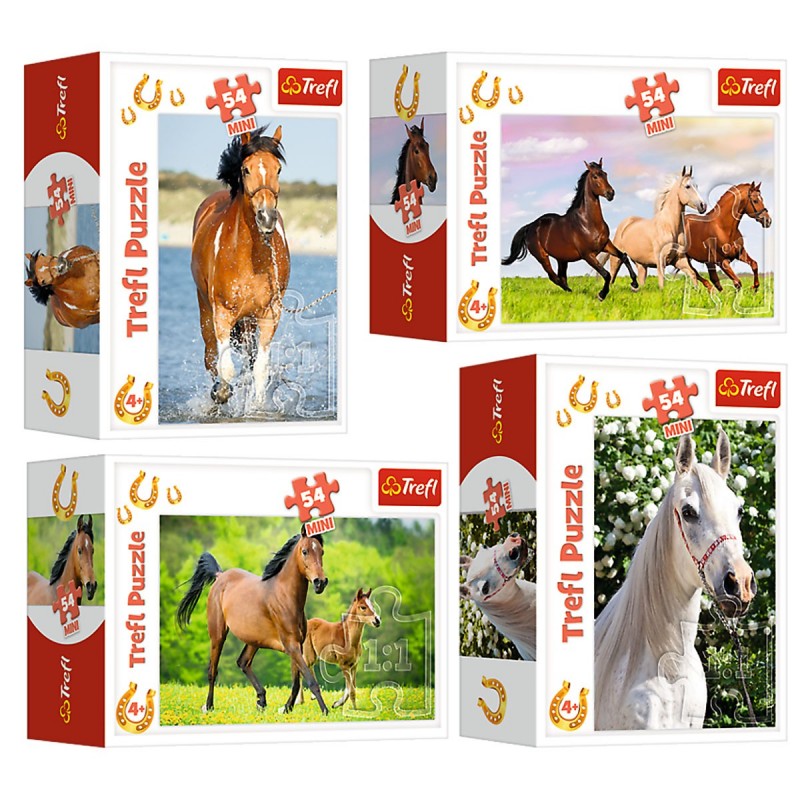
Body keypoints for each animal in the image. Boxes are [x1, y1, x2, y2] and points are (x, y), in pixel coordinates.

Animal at [176, 529, 330, 715]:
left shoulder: (297, 645)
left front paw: (286, 708)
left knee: (243, 662)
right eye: (305, 551)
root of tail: (220, 576)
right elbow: (310, 680)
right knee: (213, 670)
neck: (285, 597)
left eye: (321, 552)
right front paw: (325, 711)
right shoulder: (291, 645)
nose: (320, 582)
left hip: (253, 639)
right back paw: (209, 706)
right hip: (218, 635)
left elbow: (296, 681)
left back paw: (261, 700)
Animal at [191, 125, 290, 407]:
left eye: (278, 169)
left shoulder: (269, 314)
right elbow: (225, 368)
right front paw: (221, 393)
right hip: (205, 309)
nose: (266, 217)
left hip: (248, 320)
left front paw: (256, 407)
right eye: (246, 169)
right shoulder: (222, 313)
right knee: (211, 355)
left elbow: (259, 369)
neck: (249, 257)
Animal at [501, 160, 634, 301]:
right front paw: (601, 295)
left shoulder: (606, 245)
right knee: (554, 277)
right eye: (595, 176)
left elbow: (623, 256)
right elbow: (606, 274)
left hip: (562, 259)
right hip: (542, 257)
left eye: (605, 174)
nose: (610, 193)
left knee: (561, 277)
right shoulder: (588, 255)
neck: (588, 223)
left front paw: (635, 284)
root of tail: (530, 226)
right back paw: (571, 292)